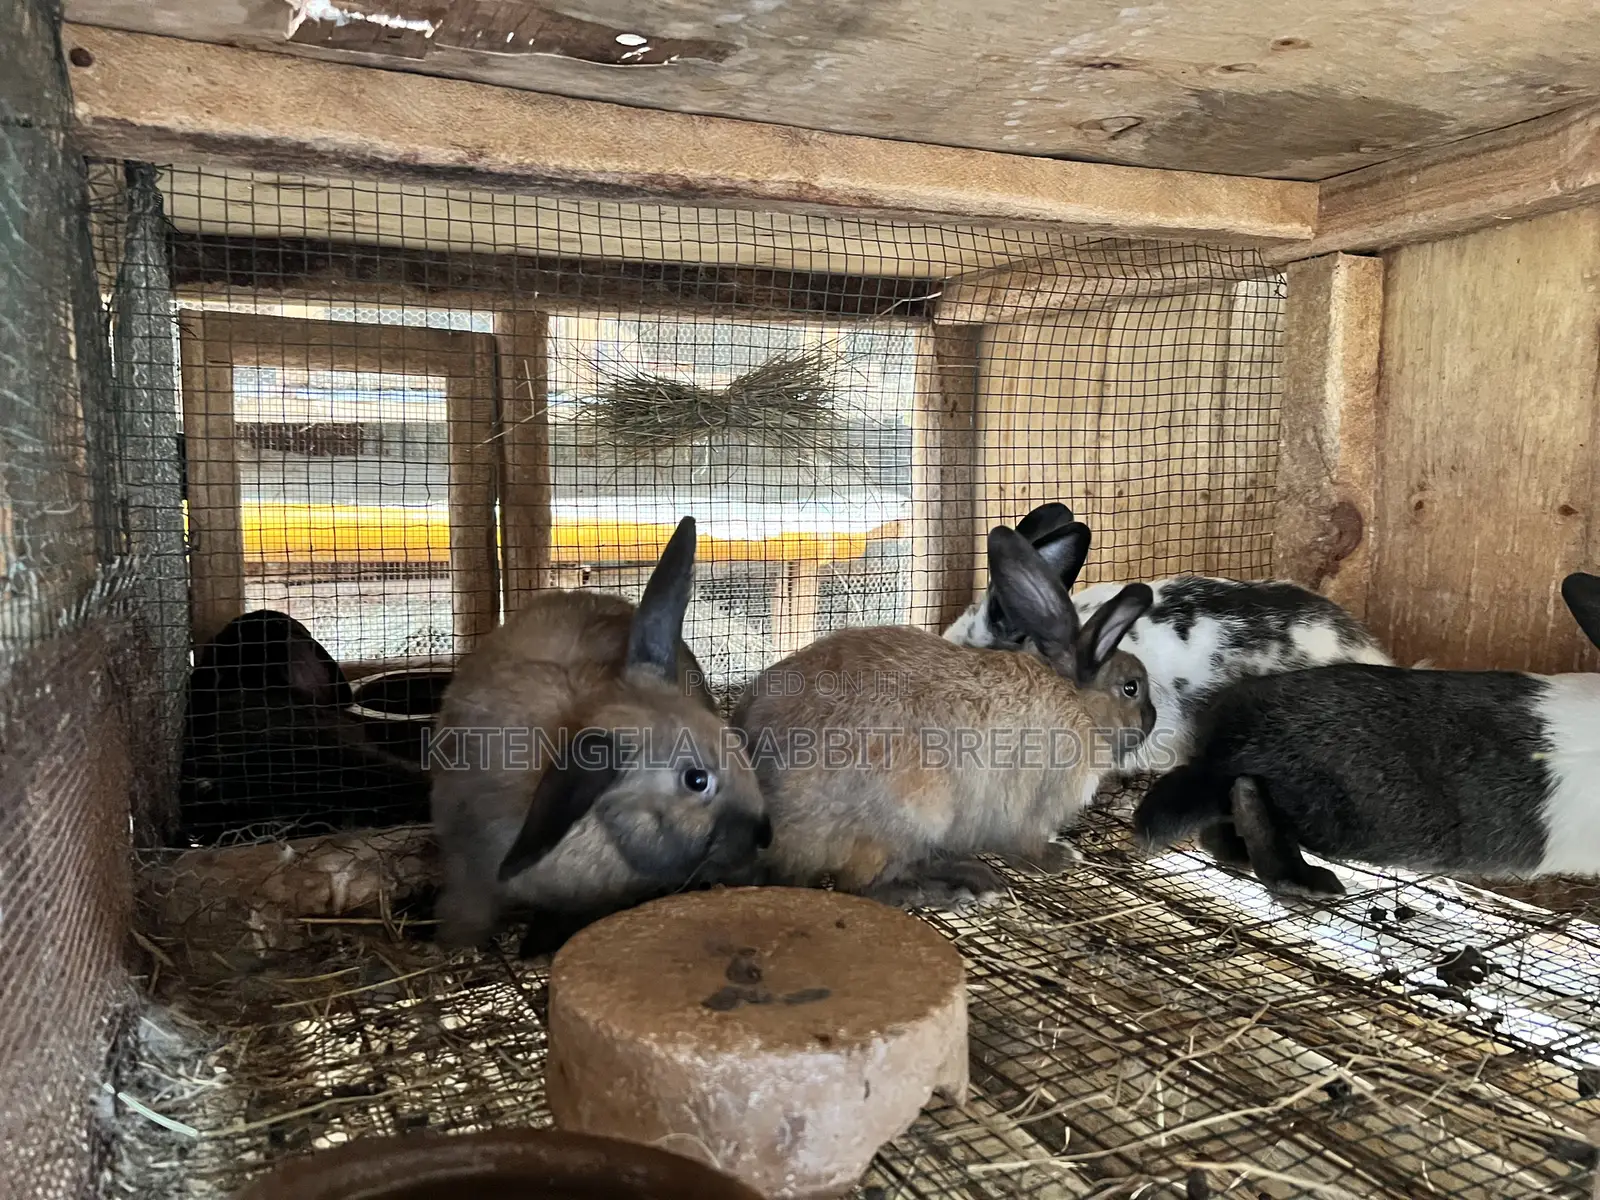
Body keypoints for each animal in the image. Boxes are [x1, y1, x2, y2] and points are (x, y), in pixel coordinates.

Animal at [731, 524, 1155, 912]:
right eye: (1131, 688)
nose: (1151, 721)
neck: (1079, 704)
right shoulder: (1035, 807)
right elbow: (1027, 848)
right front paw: (1061, 858)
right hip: (913, 818)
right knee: (864, 887)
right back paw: (955, 889)